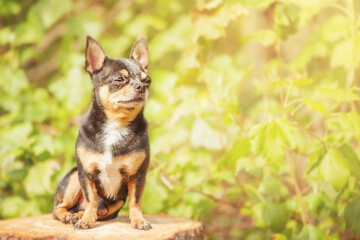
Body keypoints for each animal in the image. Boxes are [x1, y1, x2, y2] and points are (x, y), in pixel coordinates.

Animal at [52, 36, 151, 231]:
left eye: (147, 80)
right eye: (119, 79)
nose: (141, 87)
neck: (116, 125)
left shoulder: (138, 175)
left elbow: (136, 201)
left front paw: (139, 220)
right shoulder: (85, 174)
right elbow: (91, 198)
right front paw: (86, 221)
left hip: (116, 203)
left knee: (101, 211)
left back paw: (80, 215)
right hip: (73, 177)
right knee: (59, 208)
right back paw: (70, 216)